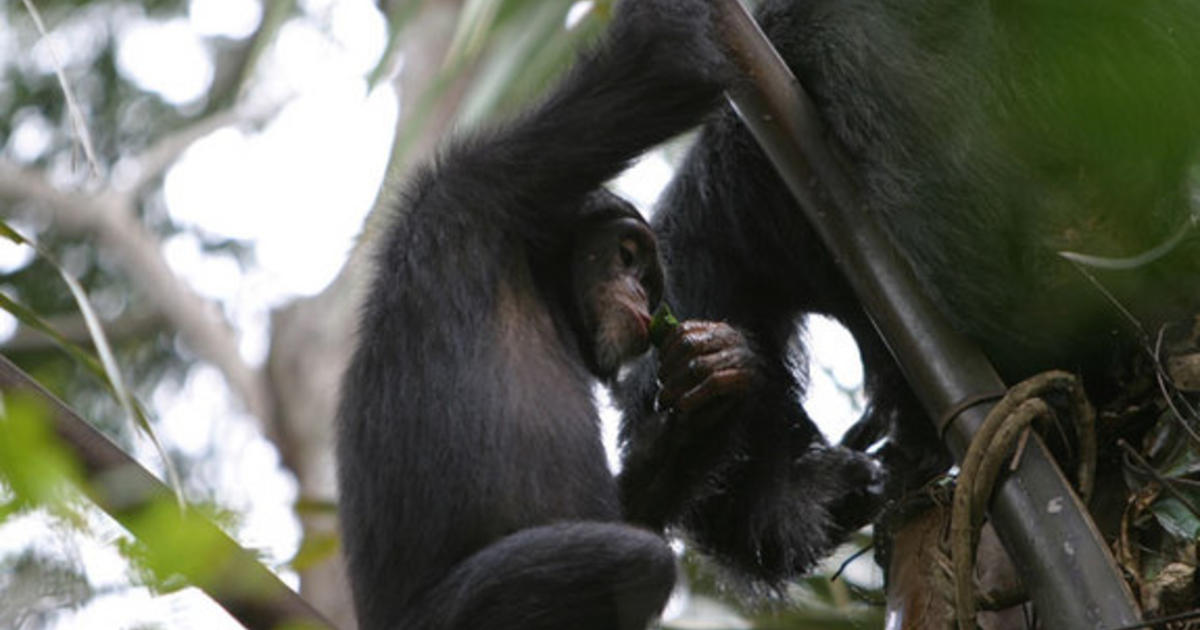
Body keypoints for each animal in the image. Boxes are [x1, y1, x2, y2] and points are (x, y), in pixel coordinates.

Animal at [338, 1, 883, 628]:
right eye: (625, 256)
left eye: (648, 279)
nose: (642, 298)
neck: (540, 279)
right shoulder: (484, 184)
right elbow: (659, 63)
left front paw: (715, 394)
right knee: (639, 562)